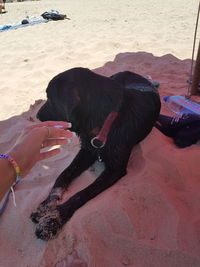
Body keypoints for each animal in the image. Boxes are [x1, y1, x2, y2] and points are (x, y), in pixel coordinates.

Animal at [30, 67, 161, 241]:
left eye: (51, 99)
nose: (37, 116)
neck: (106, 120)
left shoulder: (115, 169)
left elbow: (82, 193)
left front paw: (53, 221)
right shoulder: (86, 151)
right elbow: (63, 175)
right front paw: (45, 205)